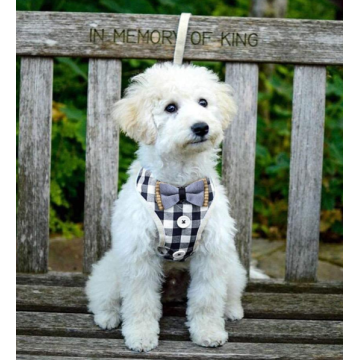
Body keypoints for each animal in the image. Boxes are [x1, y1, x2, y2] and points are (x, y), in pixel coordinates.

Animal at [85, 62, 248, 352]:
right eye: (171, 107)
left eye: (204, 102)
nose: (201, 127)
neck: (181, 188)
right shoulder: (139, 254)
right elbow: (139, 302)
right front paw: (140, 336)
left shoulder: (212, 253)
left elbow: (207, 299)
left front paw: (208, 332)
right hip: (110, 270)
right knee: (102, 295)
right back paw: (107, 316)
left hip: (232, 268)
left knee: (228, 293)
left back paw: (232, 310)